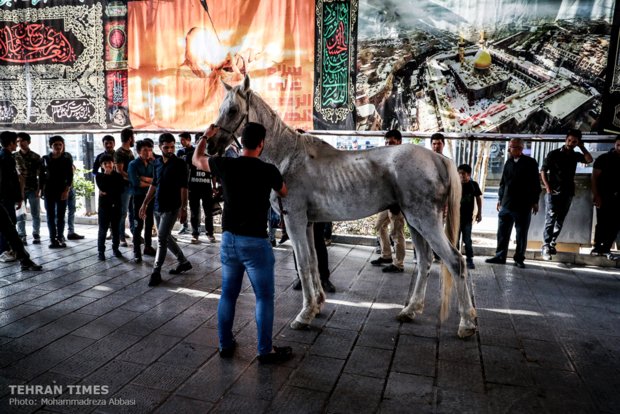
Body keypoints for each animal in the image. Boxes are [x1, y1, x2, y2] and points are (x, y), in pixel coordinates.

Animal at [206, 76, 478, 338]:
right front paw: (316, 305)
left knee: (455, 261)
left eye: (232, 110)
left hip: (426, 220)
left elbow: (303, 264)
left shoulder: (294, 220)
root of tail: (438, 158)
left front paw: (304, 315)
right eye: (219, 109)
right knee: (424, 261)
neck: (288, 158)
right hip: (414, 222)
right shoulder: (307, 223)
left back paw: (466, 323)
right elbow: (313, 261)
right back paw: (410, 310)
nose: (209, 146)